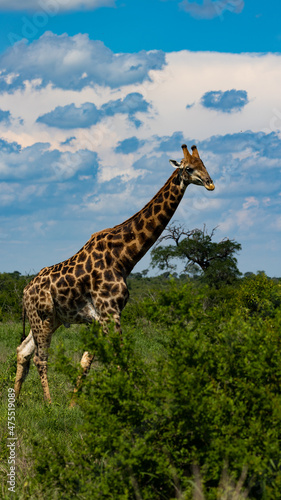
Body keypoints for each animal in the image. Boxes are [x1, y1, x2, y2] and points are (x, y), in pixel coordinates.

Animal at [14, 145, 213, 402]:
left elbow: (87, 361)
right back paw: (49, 404)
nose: (210, 183)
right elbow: (119, 358)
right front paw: (131, 404)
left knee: (23, 350)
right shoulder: (110, 312)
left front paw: (73, 404)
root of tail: (25, 291)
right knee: (40, 357)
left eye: (204, 164)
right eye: (188, 168)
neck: (124, 258)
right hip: (42, 318)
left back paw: (17, 401)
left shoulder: (103, 317)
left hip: (51, 318)